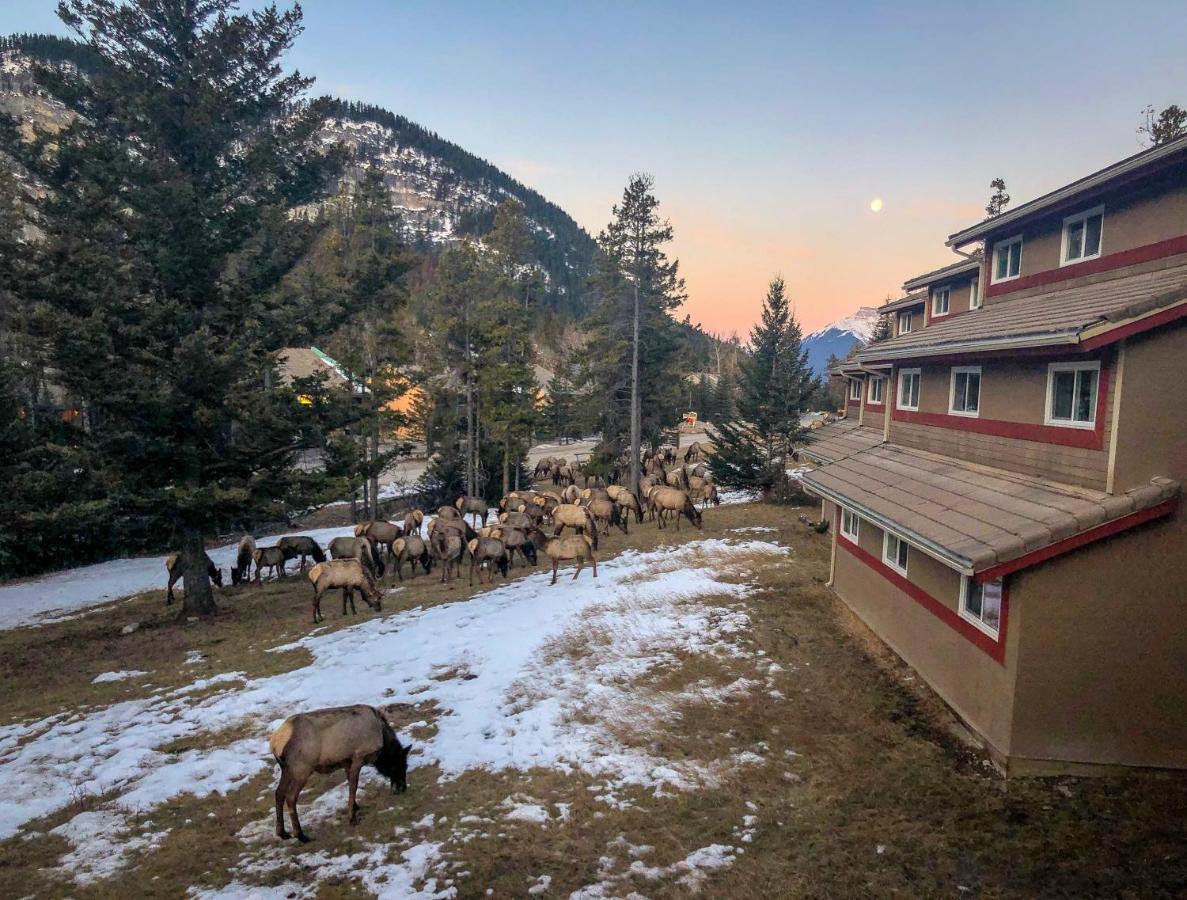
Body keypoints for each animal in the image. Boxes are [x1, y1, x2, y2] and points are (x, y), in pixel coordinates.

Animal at [271, 702, 410, 845]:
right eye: (402, 766)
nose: (403, 787)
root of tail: (275, 742)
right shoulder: (358, 757)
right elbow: (354, 786)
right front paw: (352, 818)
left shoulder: (347, 761)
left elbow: (350, 784)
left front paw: (355, 806)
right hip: (302, 769)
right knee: (290, 797)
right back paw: (301, 835)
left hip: (287, 769)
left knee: (279, 793)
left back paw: (282, 832)